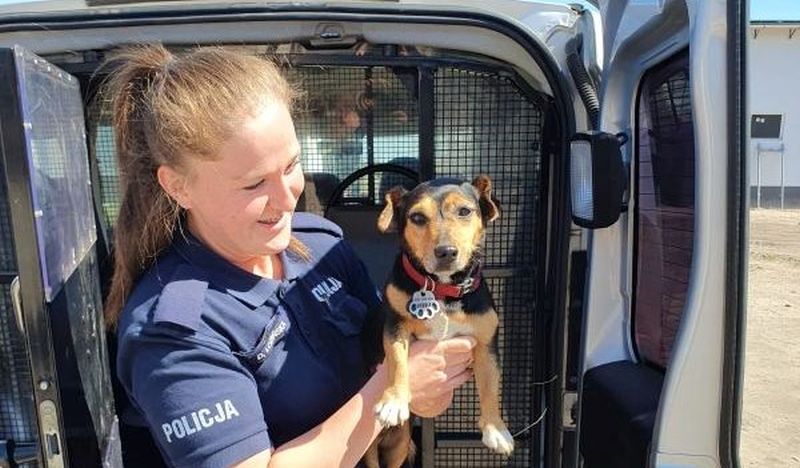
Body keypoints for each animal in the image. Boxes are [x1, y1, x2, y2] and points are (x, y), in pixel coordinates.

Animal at [366, 174, 516, 466]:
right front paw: (394, 400)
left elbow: (491, 386)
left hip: (400, 442)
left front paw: (496, 428)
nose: (446, 251)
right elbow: (397, 362)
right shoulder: (395, 327)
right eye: (417, 217)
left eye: (465, 211)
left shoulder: (486, 344)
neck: (442, 290)